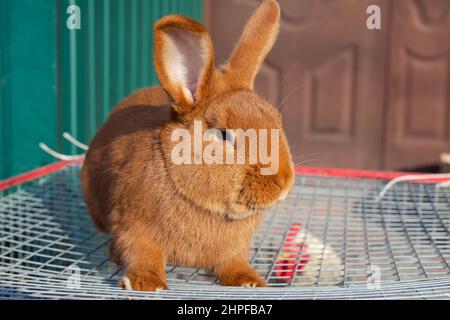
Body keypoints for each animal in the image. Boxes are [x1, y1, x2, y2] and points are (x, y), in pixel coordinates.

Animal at [80, 0, 296, 292]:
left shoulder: (235, 249)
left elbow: (233, 261)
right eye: (224, 135)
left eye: (276, 119)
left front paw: (248, 281)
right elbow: (141, 254)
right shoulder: (133, 229)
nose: (284, 181)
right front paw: (145, 284)